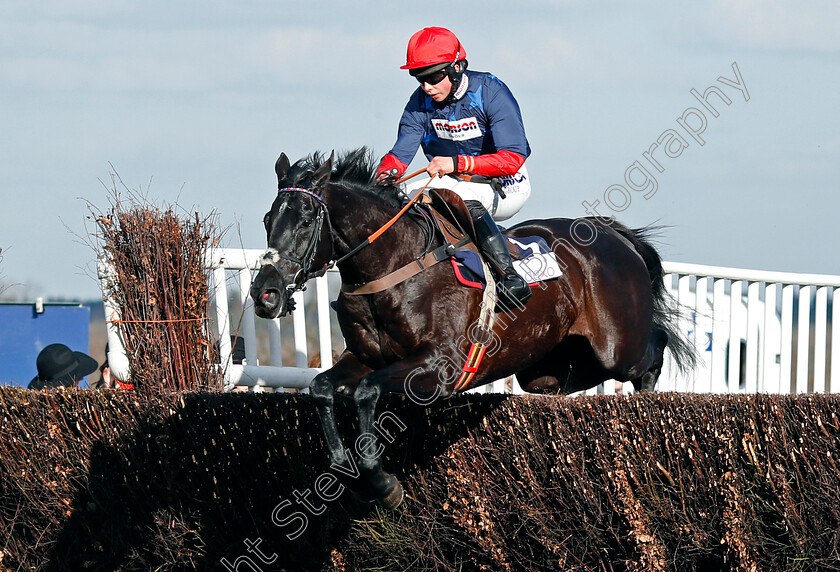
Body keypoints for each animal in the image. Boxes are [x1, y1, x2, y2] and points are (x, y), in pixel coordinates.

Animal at [251, 149, 696, 510]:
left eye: (306, 220)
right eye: (267, 219)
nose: (264, 292)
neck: (394, 266)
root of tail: (611, 233)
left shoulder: (439, 367)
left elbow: (366, 392)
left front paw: (381, 482)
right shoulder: (363, 357)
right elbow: (322, 388)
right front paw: (352, 475)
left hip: (617, 346)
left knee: (653, 348)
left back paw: (650, 400)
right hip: (546, 365)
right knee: (563, 380)